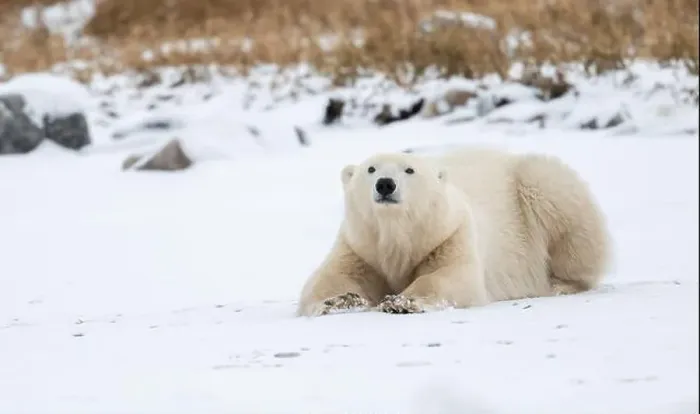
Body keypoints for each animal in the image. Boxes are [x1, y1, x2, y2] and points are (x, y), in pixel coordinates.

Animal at [296, 146, 611, 317]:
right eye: (370, 169)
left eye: (409, 170)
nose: (385, 184)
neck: (398, 235)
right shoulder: (361, 246)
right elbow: (331, 279)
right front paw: (340, 301)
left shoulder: (449, 234)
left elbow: (450, 276)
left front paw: (403, 301)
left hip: (537, 185)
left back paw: (559, 284)